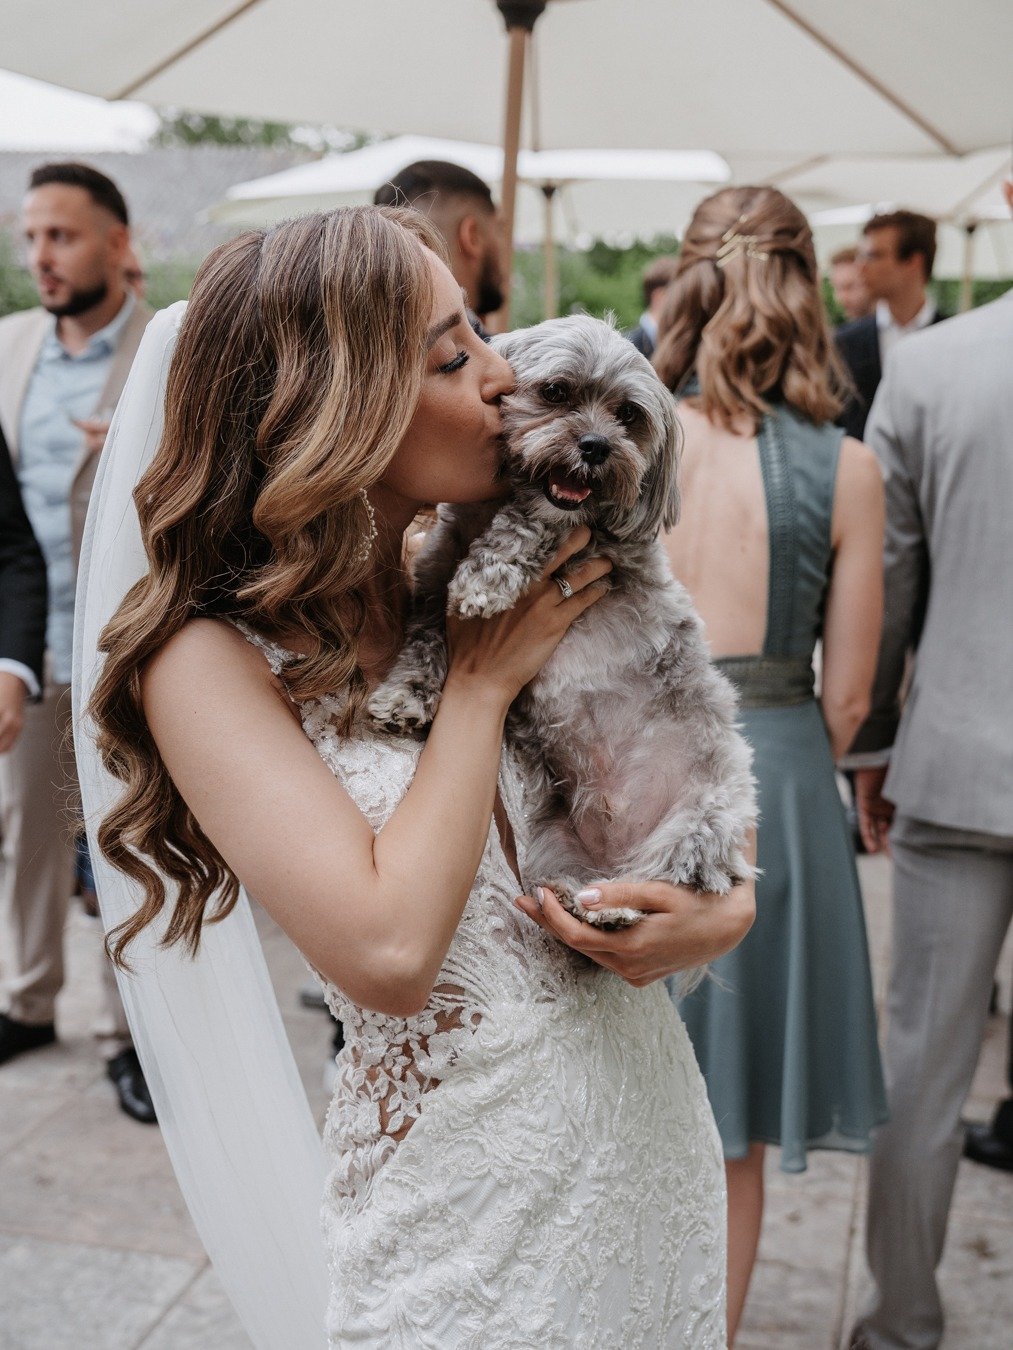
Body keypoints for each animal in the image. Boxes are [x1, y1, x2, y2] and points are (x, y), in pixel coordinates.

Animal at [370, 315, 756, 928]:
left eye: (628, 414)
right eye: (555, 392)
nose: (596, 446)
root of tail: (616, 848)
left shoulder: (596, 540)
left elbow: (533, 520)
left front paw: (487, 574)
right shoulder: (430, 578)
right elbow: (427, 636)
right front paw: (406, 693)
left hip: (703, 819)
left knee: (664, 881)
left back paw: (612, 912)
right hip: (555, 839)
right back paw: (579, 900)